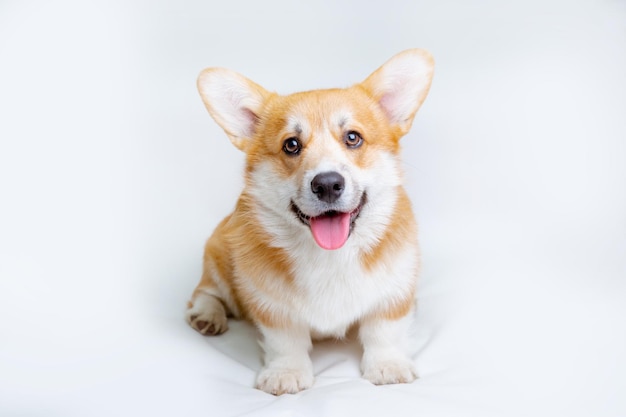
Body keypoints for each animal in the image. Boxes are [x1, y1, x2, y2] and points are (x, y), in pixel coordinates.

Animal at [185, 48, 434, 394]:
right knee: (205, 291)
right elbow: (285, 341)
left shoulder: (393, 294)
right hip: (218, 254)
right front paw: (286, 372)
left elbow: (383, 331)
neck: (330, 257)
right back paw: (207, 315)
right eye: (291, 144)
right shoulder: (272, 309)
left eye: (353, 138)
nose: (327, 184)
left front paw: (388, 365)